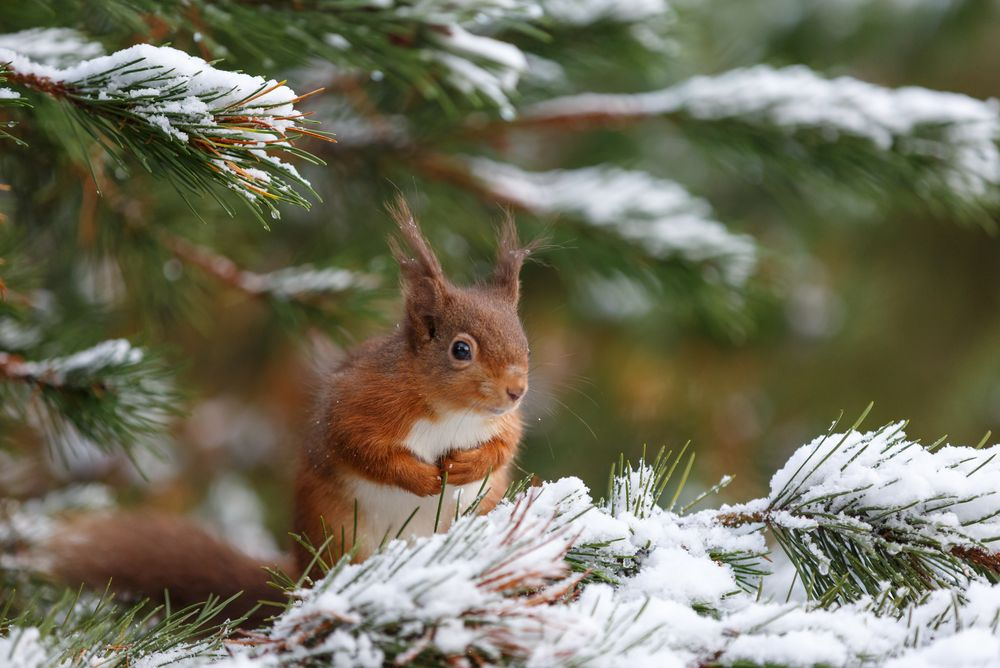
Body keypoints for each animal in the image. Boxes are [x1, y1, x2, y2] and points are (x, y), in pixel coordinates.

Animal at [33, 198, 532, 620]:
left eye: (523, 341)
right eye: (461, 350)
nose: (517, 390)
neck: (450, 414)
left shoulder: (503, 424)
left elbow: (503, 448)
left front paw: (468, 465)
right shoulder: (361, 403)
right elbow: (360, 447)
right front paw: (422, 478)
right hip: (336, 533)